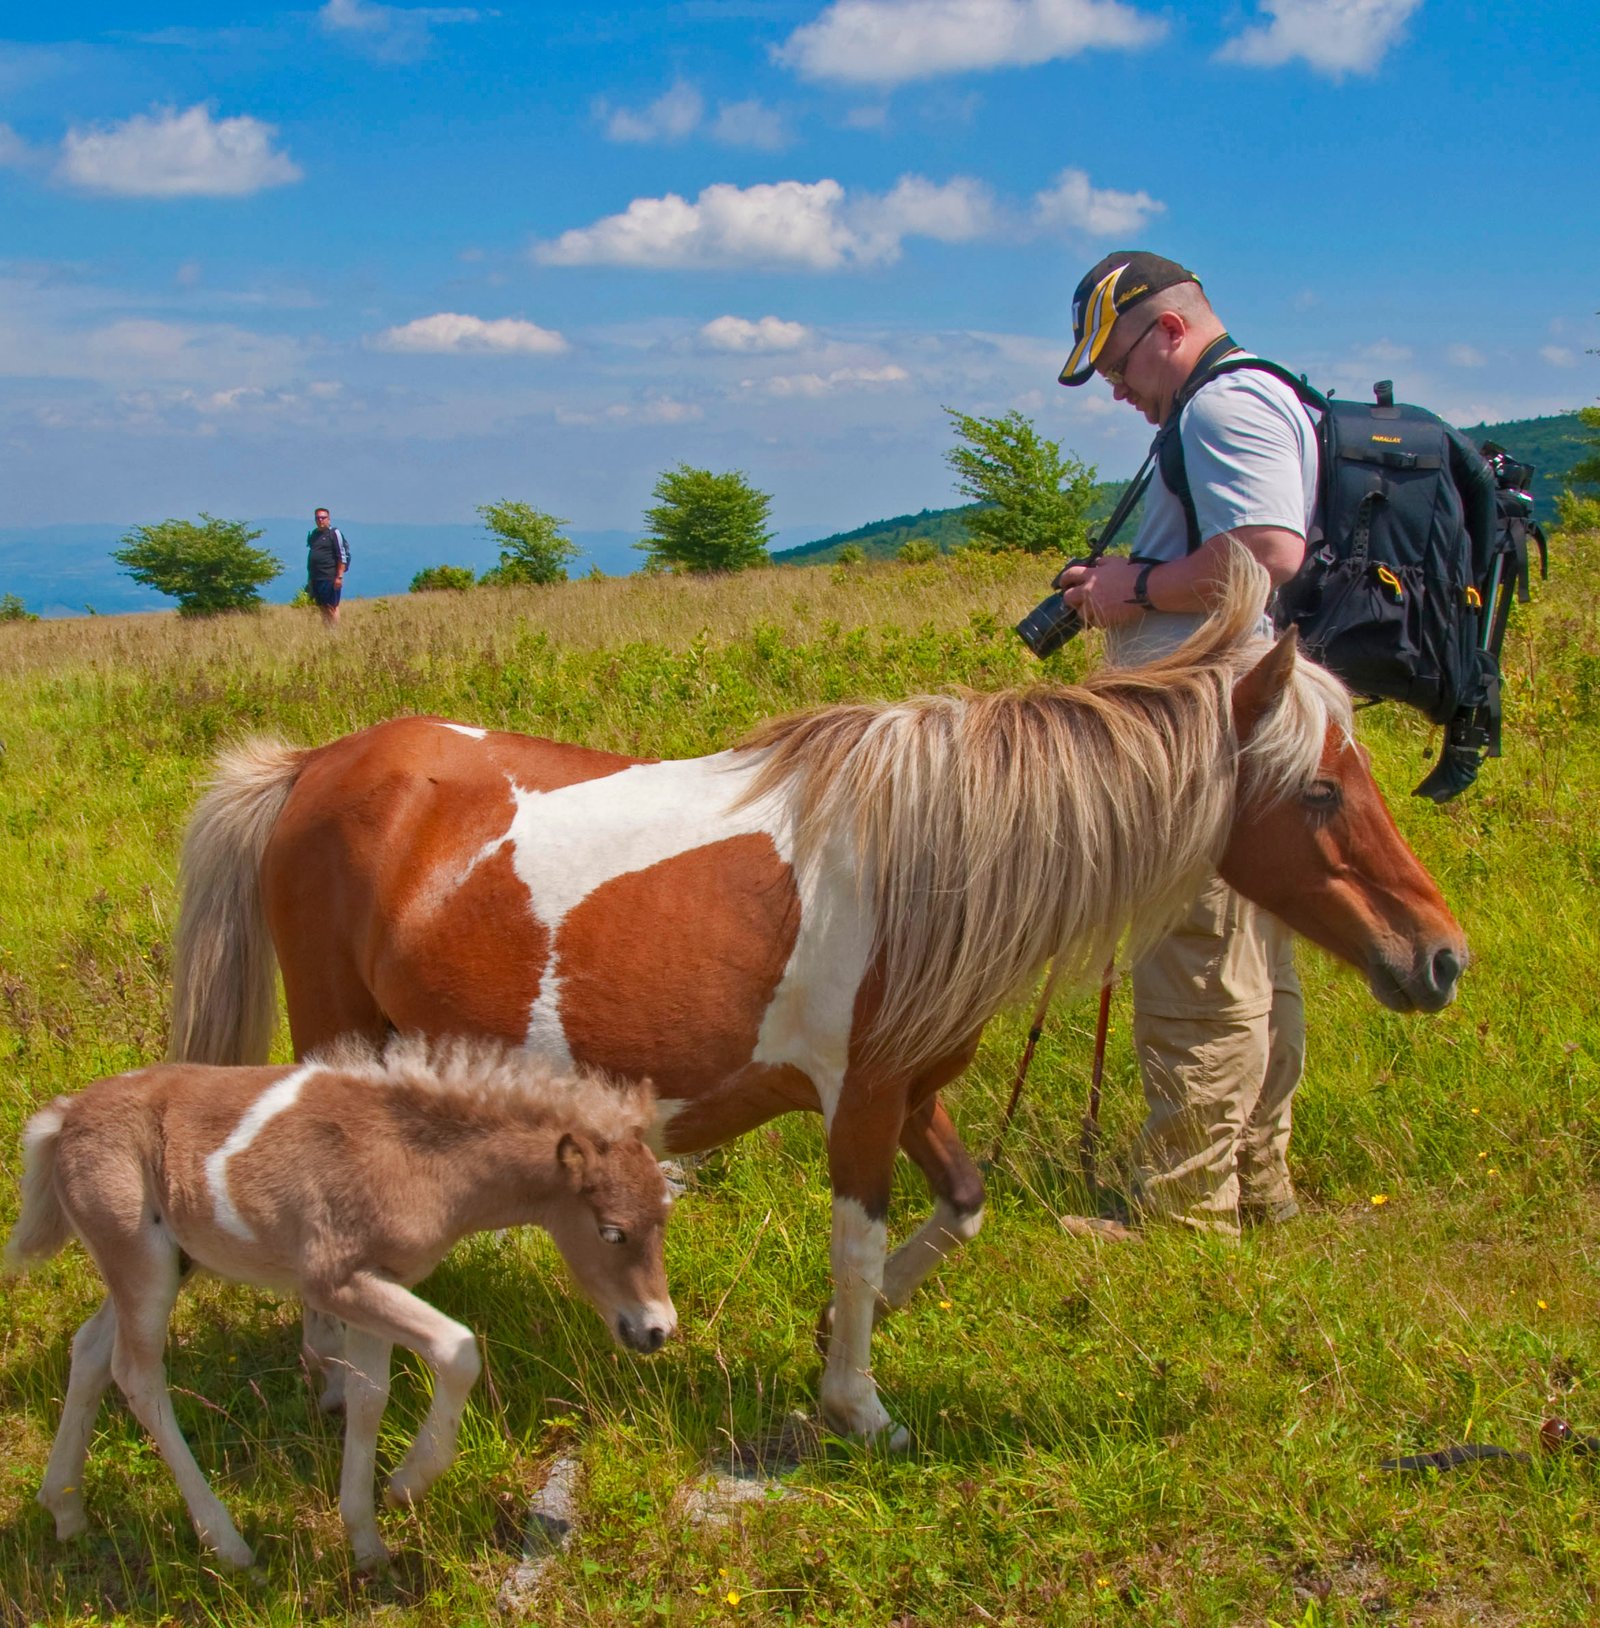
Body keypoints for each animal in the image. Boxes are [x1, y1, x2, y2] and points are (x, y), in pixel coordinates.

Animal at [5, 1035, 676, 1571]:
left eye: (665, 1215)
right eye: (613, 1232)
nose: (657, 1329)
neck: (418, 1158)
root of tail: (62, 1118)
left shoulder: (377, 1283)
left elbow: (368, 1395)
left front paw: (367, 1544)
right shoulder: (334, 1281)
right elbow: (457, 1350)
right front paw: (407, 1485)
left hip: (168, 1261)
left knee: (90, 1348)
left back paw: (64, 1509)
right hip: (140, 1260)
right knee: (136, 1374)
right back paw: (228, 1544)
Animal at [165, 548, 1466, 1444]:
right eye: (1319, 792)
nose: (1438, 956)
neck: (932, 860)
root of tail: (313, 767)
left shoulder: (917, 1091)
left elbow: (961, 1209)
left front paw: (850, 1335)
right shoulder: (860, 1102)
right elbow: (857, 1241)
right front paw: (857, 1404)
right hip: (338, 1027)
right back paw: (333, 1375)